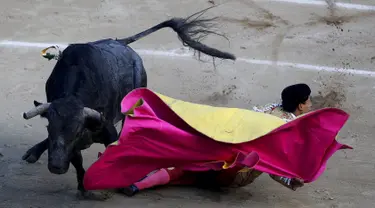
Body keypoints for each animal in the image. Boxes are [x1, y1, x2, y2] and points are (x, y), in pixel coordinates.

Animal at [20, 10, 235, 197]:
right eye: (49, 128)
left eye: (77, 131)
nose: (56, 167)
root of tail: (120, 42)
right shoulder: (68, 143)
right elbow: (78, 162)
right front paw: (83, 187)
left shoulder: (105, 130)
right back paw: (34, 152)